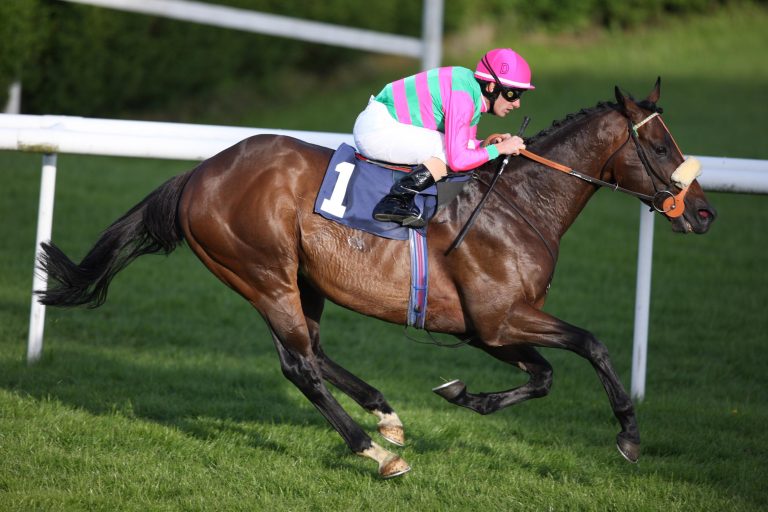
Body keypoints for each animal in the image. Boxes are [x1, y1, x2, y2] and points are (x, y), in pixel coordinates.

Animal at [36, 79, 716, 478]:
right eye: (661, 148)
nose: (705, 213)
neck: (518, 204)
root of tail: (199, 173)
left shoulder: (486, 330)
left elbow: (544, 375)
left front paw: (464, 396)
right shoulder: (501, 320)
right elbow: (591, 345)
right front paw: (629, 436)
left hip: (301, 280)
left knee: (311, 351)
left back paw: (386, 417)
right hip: (264, 273)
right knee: (299, 365)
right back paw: (373, 450)